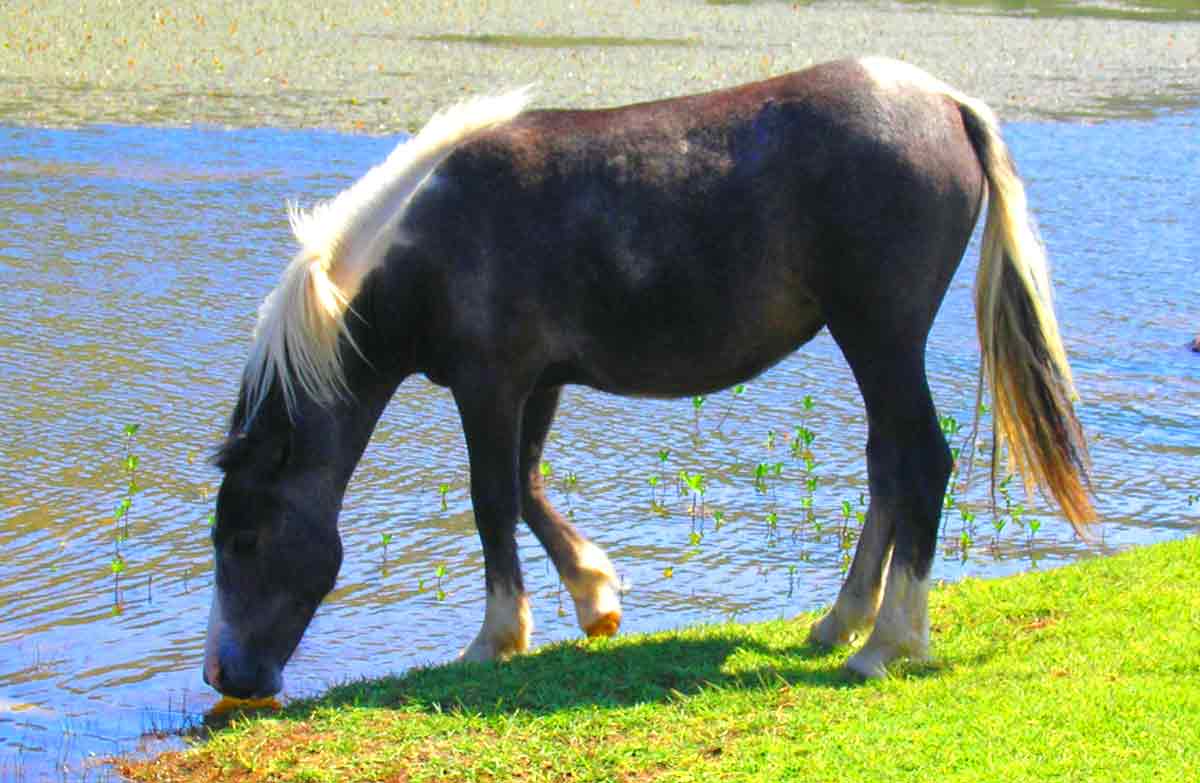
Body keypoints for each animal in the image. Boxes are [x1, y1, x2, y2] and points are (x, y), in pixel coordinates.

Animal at [203, 57, 1092, 698]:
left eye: (243, 537)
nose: (223, 675)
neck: (429, 237)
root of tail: (945, 100)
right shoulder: (539, 383)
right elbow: (526, 488)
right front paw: (595, 597)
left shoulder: (488, 384)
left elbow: (491, 501)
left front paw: (495, 638)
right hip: (871, 343)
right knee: (886, 469)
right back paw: (840, 622)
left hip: (880, 336)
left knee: (920, 465)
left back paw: (887, 643)